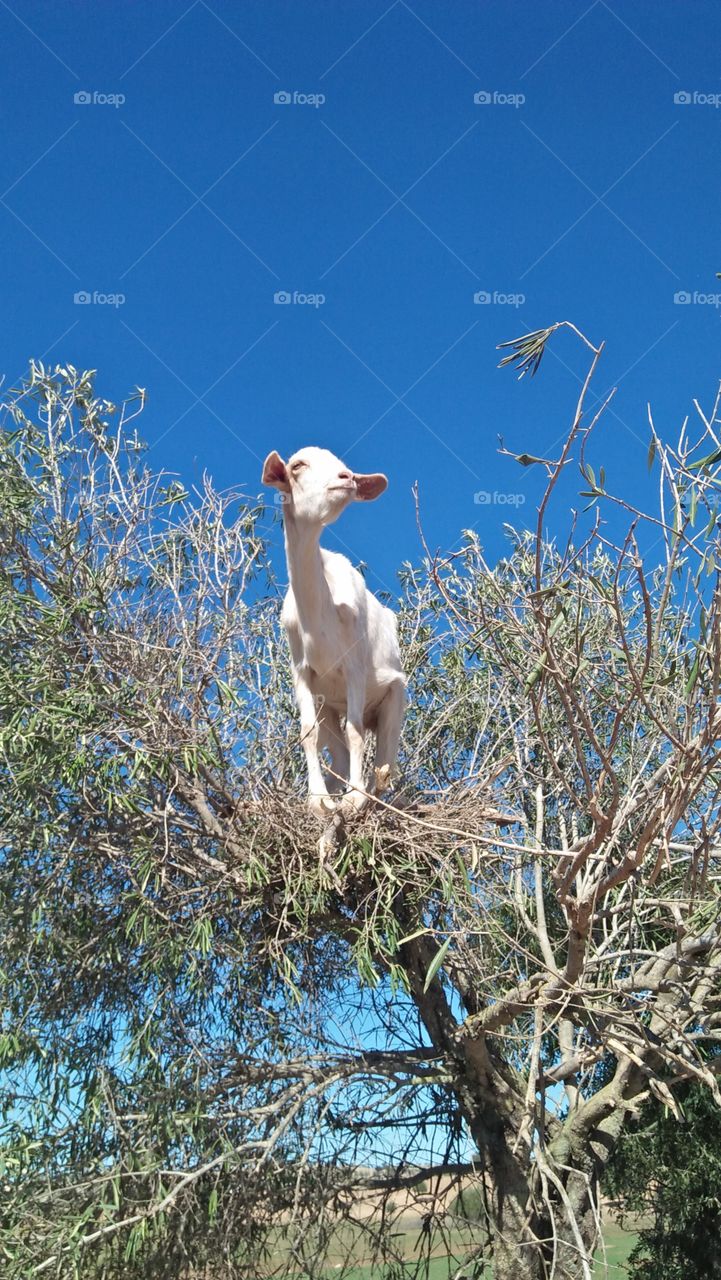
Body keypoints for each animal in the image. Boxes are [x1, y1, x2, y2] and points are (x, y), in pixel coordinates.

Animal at [263, 445, 407, 814]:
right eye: (298, 466)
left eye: (346, 467)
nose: (347, 479)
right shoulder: (302, 671)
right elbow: (307, 732)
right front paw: (317, 800)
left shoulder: (355, 666)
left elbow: (355, 732)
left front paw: (354, 799)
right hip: (329, 703)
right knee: (340, 757)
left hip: (394, 698)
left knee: (384, 764)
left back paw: (371, 797)